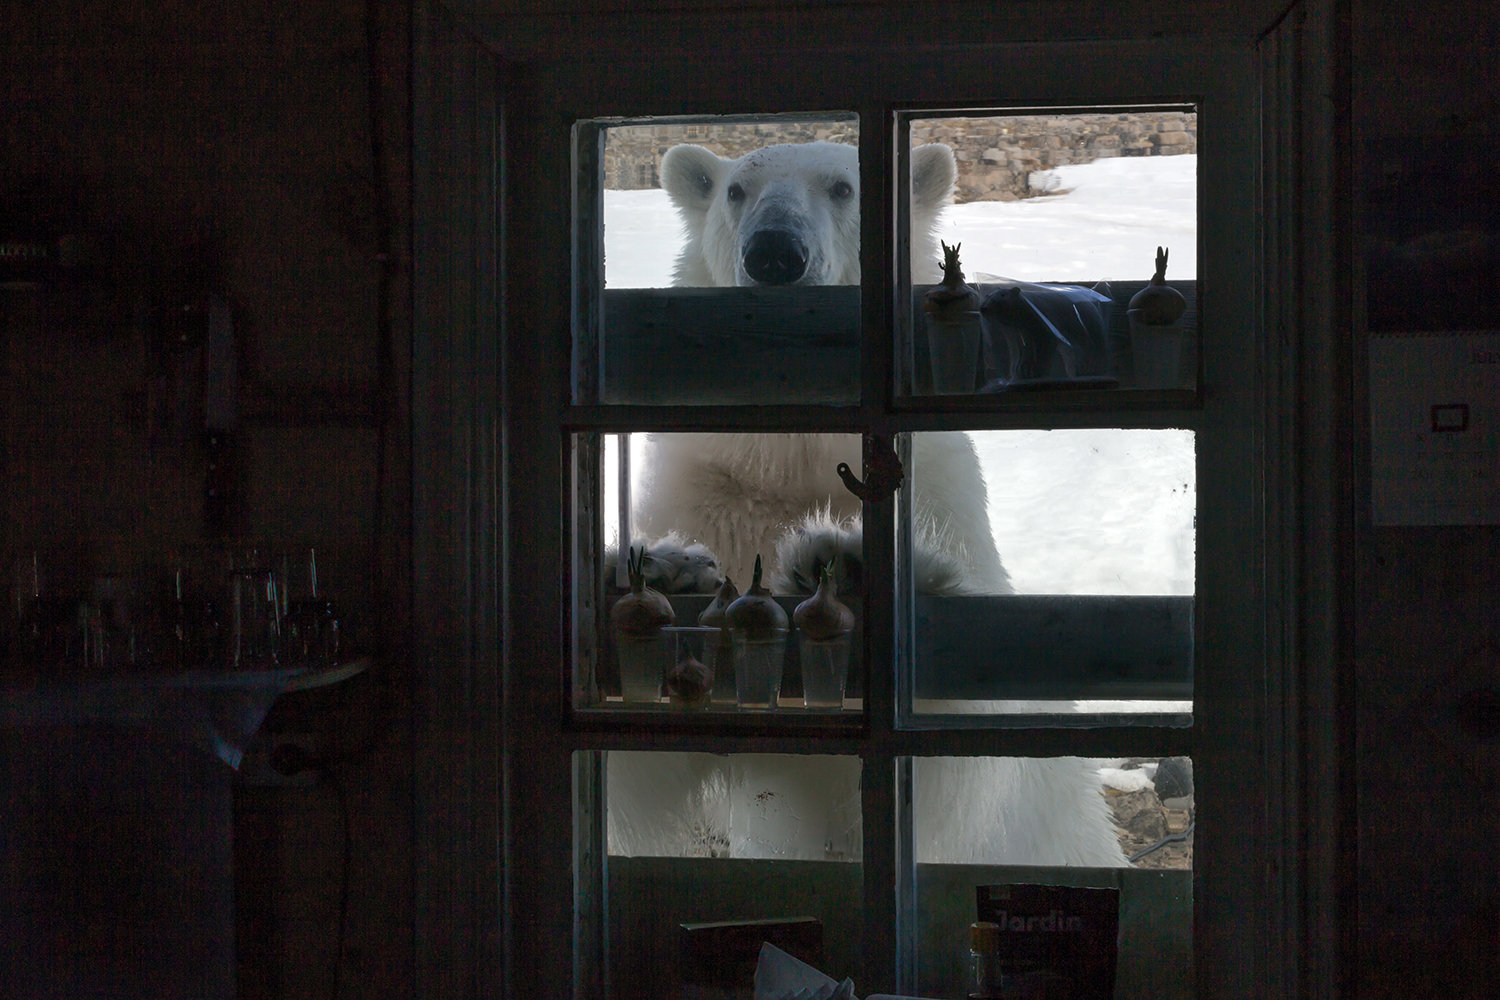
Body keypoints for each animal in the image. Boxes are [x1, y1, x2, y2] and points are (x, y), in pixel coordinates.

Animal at [606, 140, 1128, 869]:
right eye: (736, 191)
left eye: (843, 187)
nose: (775, 254)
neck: (793, 466)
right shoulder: (706, 489)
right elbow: (634, 771)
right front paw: (663, 570)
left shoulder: (940, 494)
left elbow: (955, 770)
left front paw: (845, 563)